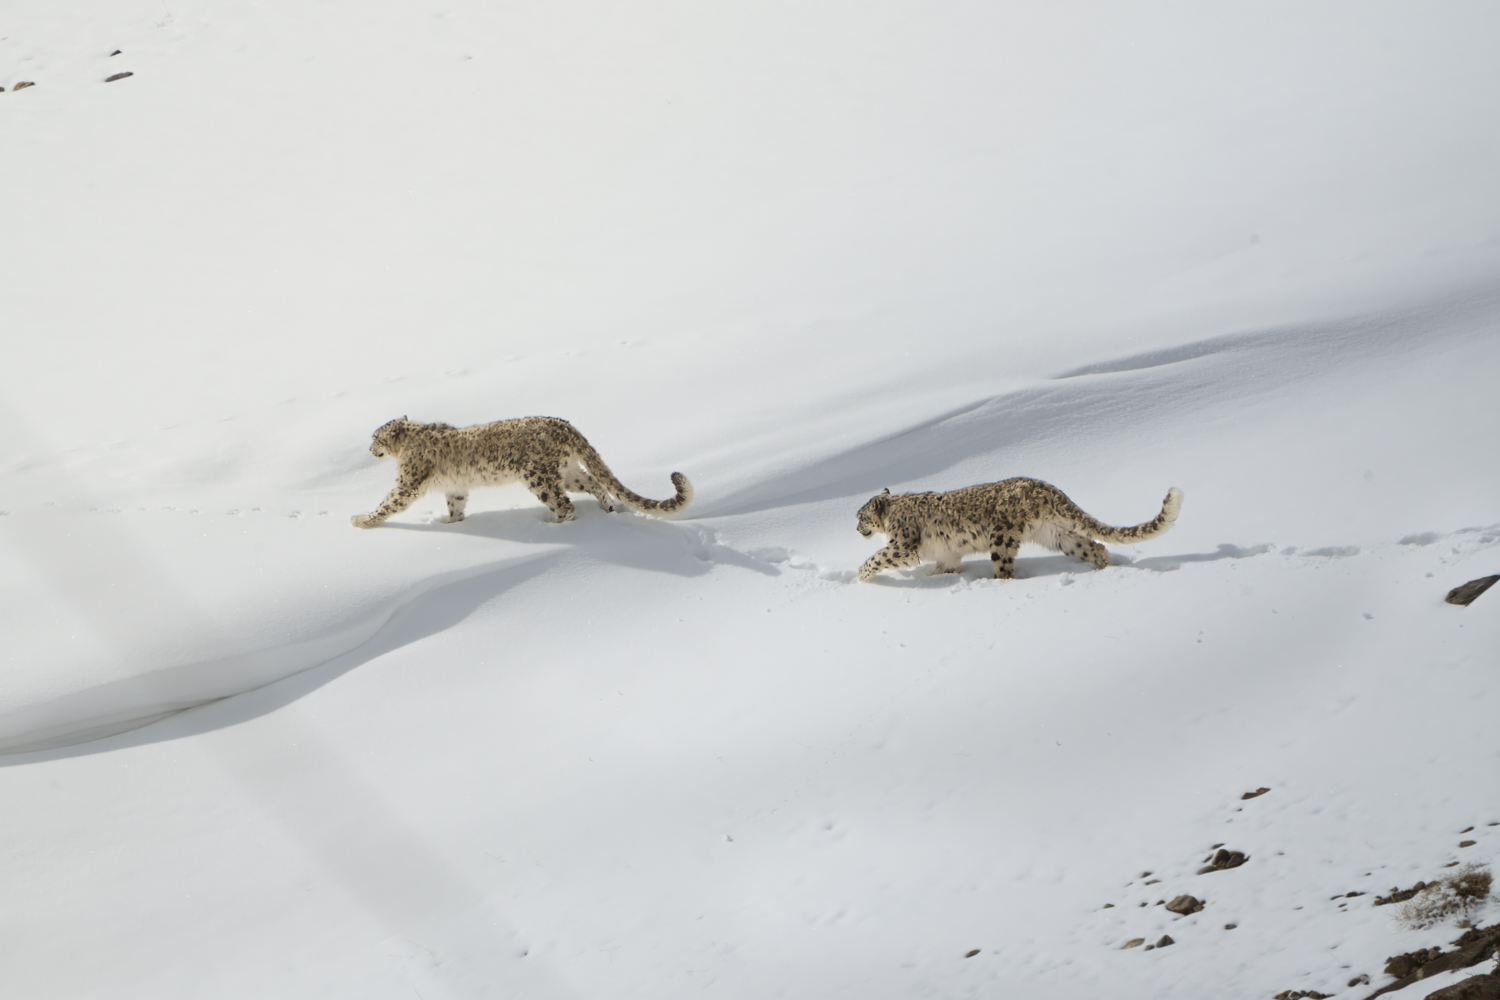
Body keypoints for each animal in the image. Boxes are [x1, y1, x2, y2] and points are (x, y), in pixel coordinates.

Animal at [352, 413, 696, 527]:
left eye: (375, 438)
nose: (369, 450)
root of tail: (564, 425)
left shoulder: (407, 483)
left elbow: (388, 503)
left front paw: (361, 520)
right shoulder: (455, 486)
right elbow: (456, 503)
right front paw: (452, 523)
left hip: (539, 476)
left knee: (565, 505)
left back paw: (551, 525)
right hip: (567, 472)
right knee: (594, 483)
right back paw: (608, 509)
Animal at [858, 479, 1182, 581]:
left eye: (861, 515)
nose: (856, 526)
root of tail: (1044, 487)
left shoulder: (903, 545)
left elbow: (877, 557)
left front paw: (862, 576)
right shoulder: (948, 553)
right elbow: (944, 565)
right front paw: (934, 576)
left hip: (1001, 537)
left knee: (1005, 569)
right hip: (1057, 534)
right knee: (1094, 546)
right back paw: (1106, 568)